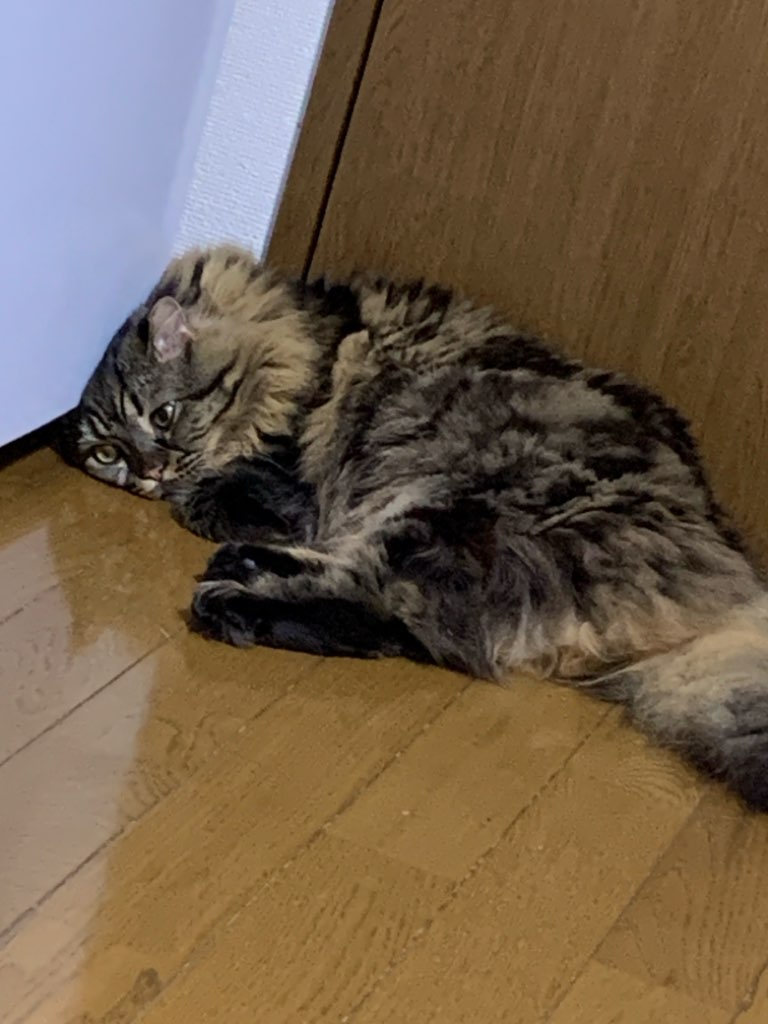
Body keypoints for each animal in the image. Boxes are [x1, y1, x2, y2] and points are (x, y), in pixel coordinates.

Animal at [60, 243, 768, 810]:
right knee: (399, 628)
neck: (306, 336)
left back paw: (232, 592)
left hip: (447, 509)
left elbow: (215, 495)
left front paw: (202, 496)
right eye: (109, 455)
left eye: (162, 414)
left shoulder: (293, 486)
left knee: (381, 603)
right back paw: (242, 576)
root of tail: (723, 579)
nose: (149, 471)